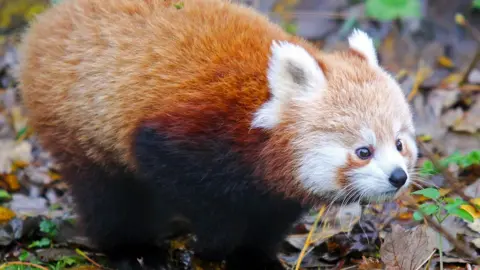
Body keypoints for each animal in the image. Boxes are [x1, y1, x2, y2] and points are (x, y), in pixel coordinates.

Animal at [16, 0, 418, 268]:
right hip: (77, 121)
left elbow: (267, 218)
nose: (398, 177)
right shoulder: (183, 136)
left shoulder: (273, 188)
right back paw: (133, 250)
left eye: (400, 144)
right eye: (363, 151)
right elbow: (202, 200)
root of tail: (48, 21)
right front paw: (214, 245)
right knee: (108, 196)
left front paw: (254, 257)